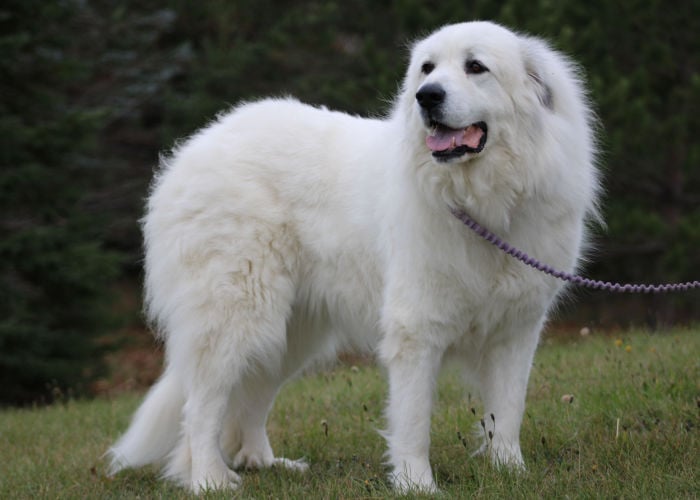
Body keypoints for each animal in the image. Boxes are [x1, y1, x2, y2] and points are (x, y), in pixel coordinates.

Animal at [106, 20, 600, 492]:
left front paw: (510, 473)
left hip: (289, 331)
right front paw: (416, 484)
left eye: (475, 67)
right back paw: (209, 479)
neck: (483, 201)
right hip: (237, 314)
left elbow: (509, 410)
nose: (427, 96)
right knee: (202, 406)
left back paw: (265, 463)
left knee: (250, 397)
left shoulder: (517, 329)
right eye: (427, 69)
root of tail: (197, 144)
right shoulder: (416, 328)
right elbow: (414, 420)